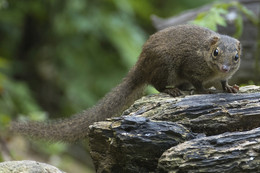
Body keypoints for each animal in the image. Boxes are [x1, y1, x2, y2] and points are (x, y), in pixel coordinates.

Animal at [10, 25, 242, 143]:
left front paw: (231, 88)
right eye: (216, 52)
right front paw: (205, 90)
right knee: (157, 84)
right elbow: (197, 83)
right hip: (165, 66)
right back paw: (173, 91)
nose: (224, 68)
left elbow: (223, 84)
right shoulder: (190, 68)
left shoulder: (220, 76)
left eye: (236, 57)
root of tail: (141, 62)